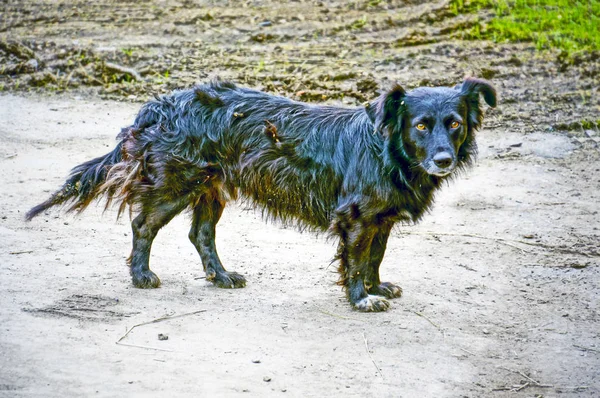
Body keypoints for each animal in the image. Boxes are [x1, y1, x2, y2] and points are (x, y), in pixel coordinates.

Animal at [25, 77, 496, 312]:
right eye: (421, 125)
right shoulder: (358, 217)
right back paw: (141, 276)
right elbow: (357, 261)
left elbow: (375, 257)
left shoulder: (380, 219)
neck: (388, 150)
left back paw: (221, 276)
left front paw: (377, 287)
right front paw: (361, 299)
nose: (443, 160)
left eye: (454, 123)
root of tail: (157, 106)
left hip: (210, 188)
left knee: (200, 235)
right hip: (176, 183)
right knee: (144, 224)